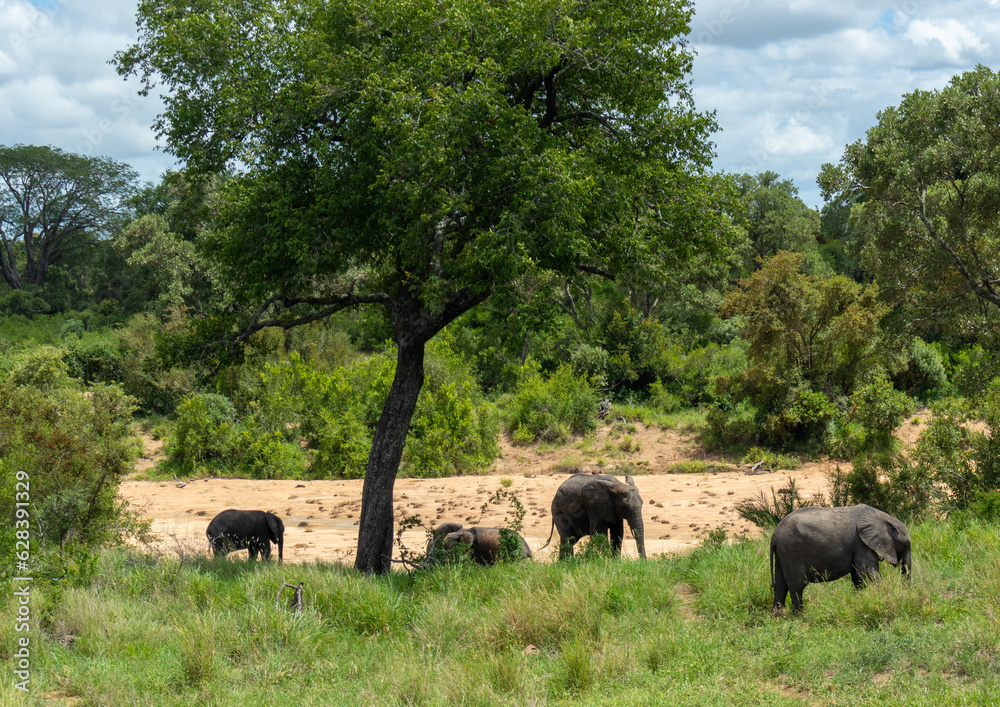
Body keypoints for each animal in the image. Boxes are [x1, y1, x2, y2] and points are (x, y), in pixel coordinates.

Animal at [770, 504, 911, 613]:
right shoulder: (861, 544)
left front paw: (859, 601)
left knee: (781, 586)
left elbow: (858, 578)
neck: (882, 517)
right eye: (906, 545)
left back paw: (778, 619)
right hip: (792, 551)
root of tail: (775, 534)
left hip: (783, 553)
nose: (905, 590)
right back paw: (801, 617)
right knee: (797, 586)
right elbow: (868, 573)